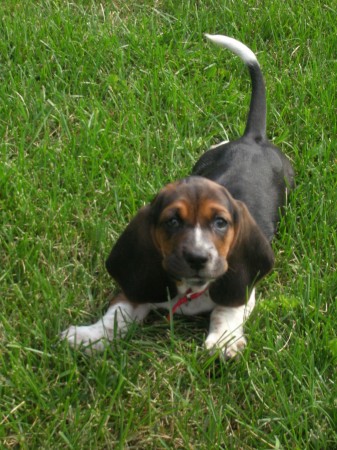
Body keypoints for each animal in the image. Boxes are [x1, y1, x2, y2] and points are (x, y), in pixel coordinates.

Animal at [61, 34, 292, 358]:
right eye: (172, 221)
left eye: (220, 223)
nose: (197, 257)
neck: (190, 290)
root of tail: (253, 139)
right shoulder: (135, 287)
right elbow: (115, 316)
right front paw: (88, 336)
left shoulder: (244, 290)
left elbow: (227, 309)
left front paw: (223, 341)